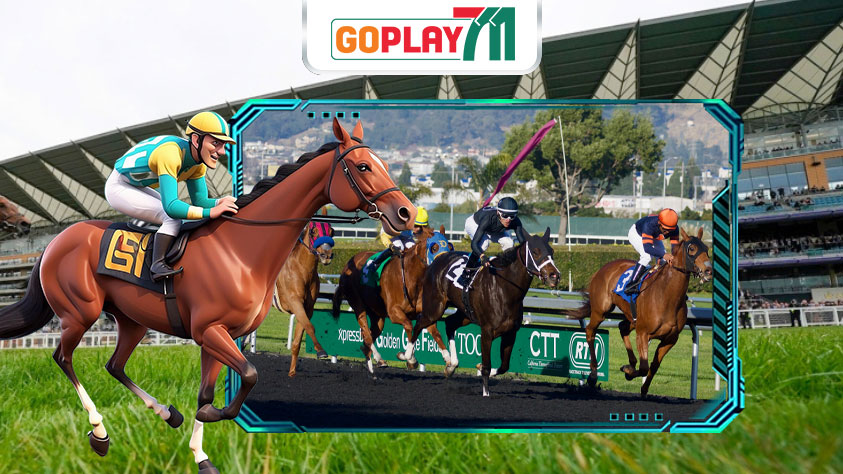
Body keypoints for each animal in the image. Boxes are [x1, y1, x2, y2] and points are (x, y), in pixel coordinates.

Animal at [271, 219, 335, 377]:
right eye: (313, 232)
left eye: (331, 232)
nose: (326, 255)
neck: (302, 270)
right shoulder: (295, 302)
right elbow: (310, 326)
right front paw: (321, 351)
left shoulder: (307, 307)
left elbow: (298, 338)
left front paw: (292, 372)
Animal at [332, 225, 452, 375]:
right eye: (434, 247)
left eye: (449, 246)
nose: (445, 265)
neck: (412, 278)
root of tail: (348, 263)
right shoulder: (394, 312)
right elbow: (409, 326)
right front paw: (410, 358)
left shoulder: (424, 313)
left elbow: (436, 333)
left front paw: (449, 362)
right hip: (358, 305)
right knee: (366, 333)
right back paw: (378, 358)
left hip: (377, 315)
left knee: (369, 336)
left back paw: (374, 361)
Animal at [403, 228, 561, 397]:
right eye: (536, 251)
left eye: (551, 251)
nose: (554, 275)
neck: (505, 289)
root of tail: (437, 260)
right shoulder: (486, 331)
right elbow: (486, 365)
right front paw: (486, 393)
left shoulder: (510, 332)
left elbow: (504, 366)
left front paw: (482, 369)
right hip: (435, 308)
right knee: (420, 322)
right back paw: (409, 357)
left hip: (465, 313)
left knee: (450, 323)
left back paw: (451, 365)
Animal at [563, 227, 712, 398]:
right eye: (692, 248)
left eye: (706, 249)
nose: (708, 270)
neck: (667, 296)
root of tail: (604, 267)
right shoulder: (643, 333)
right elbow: (644, 367)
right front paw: (627, 371)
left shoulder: (670, 339)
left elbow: (653, 366)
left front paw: (643, 387)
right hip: (601, 310)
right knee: (590, 331)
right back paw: (593, 375)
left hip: (632, 317)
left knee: (622, 327)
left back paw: (630, 362)